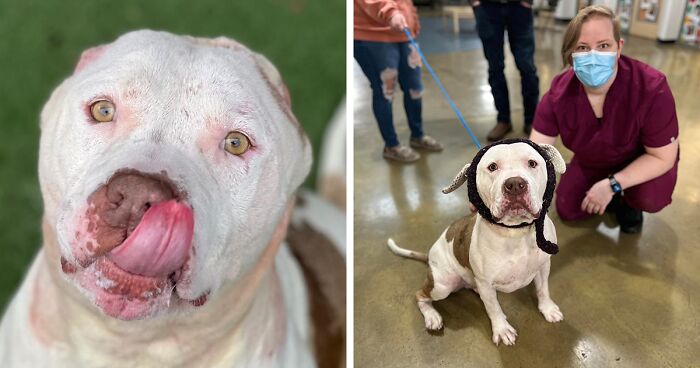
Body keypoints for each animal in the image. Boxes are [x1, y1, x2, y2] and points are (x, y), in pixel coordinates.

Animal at [388, 137, 568, 344]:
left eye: (532, 163)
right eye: (492, 167)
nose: (515, 184)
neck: (515, 232)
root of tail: (430, 256)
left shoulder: (543, 267)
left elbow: (543, 290)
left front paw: (548, 309)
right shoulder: (486, 283)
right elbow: (494, 308)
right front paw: (502, 329)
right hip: (442, 284)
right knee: (420, 295)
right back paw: (432, 316)